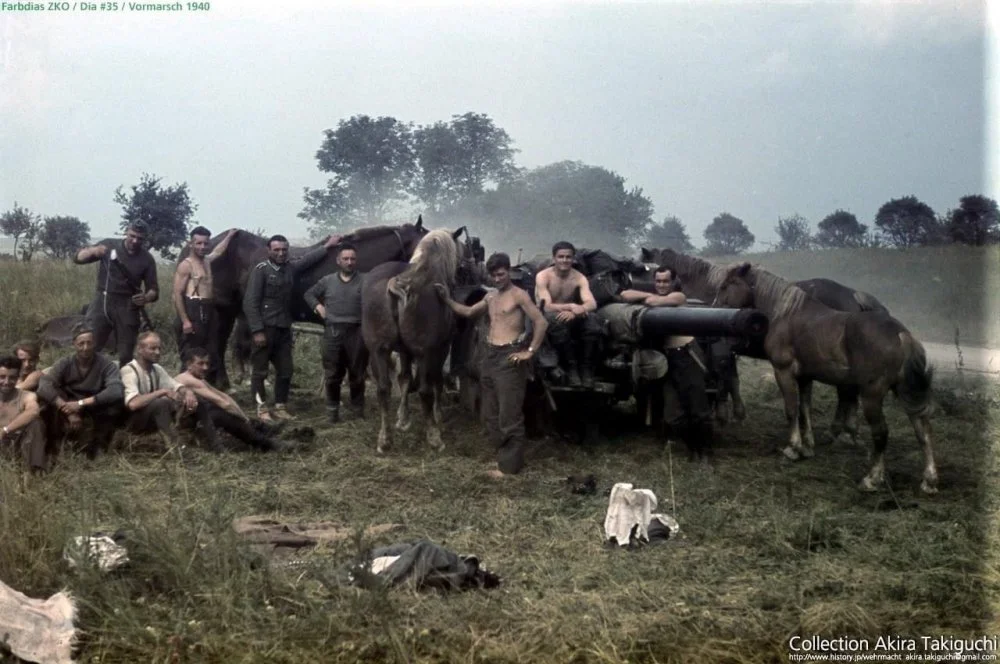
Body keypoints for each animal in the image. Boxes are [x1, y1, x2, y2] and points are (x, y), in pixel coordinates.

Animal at [360, 226, 468, 454]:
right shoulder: (439, 348)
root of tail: (397, 284)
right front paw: (437, 414)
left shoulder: (404, 351)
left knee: (383, 388)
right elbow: (434, 380)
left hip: (378, 350)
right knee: (425, 389)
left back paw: (385, 439)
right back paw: (434, 438)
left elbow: (404, 378)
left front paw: (403, 418)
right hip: (424, 352)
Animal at [712, 262, 936, 496]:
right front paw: (807, 447)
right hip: (904, 390)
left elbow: (791, 410)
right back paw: (929, 480)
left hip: (872, 395)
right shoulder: (804, 377)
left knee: (881, 433)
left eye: (726, 285)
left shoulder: (783, 371)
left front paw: (793, 448)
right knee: (923, 429)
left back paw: (872, 478)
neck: (786, 313)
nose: (714, 307)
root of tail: (902, 335)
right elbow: (805, 410)